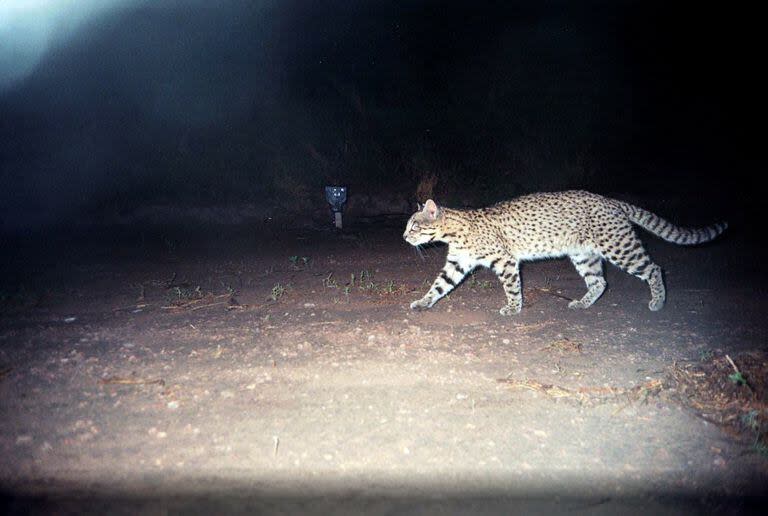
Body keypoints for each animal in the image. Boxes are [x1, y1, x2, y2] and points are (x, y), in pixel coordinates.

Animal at [404, 190, 728, 314]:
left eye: (414, 226)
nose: (404, 237)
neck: (454, 233)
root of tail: (611, 201)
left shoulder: (505, 260)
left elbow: (512, 285)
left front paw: (513, 307)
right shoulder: (457, 263)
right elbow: (439, 285)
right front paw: (423, 302)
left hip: (620, 247)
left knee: (653, 268)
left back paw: (658, 301)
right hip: (584, 255)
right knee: (600, 281)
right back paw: (582, 304)